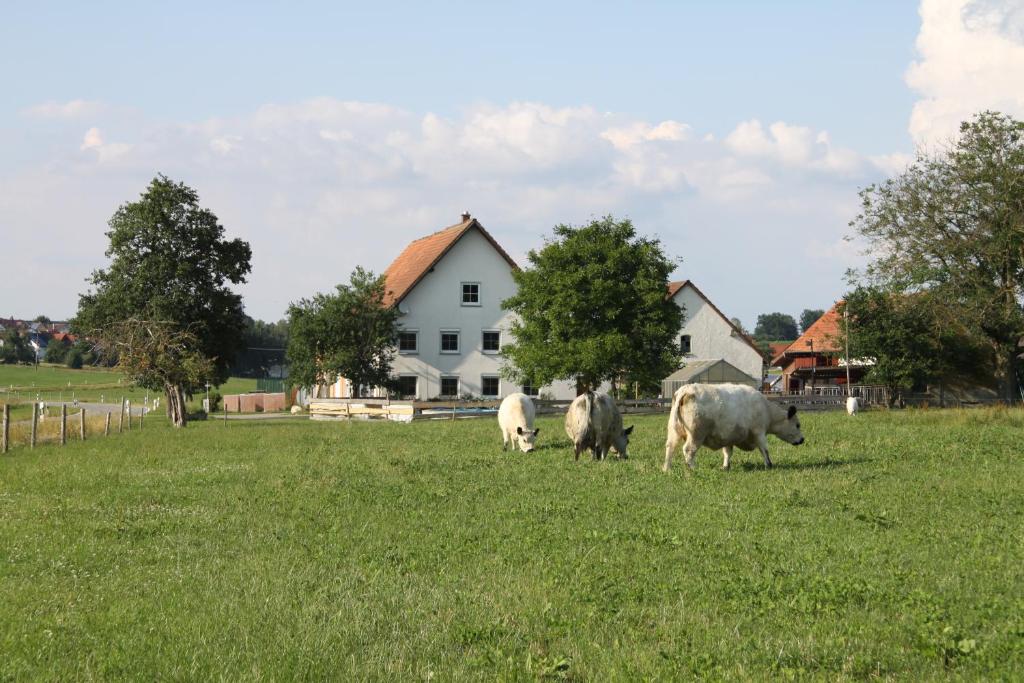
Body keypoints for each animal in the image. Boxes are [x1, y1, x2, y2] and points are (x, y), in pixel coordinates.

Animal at [663, 382, 806, 473]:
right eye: (797, 425)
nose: (802, 439)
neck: (766, 409)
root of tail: (686, 389)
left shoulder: (727, 437)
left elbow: (728, 453)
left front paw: (726, 467)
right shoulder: (759, 432)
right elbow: (764, 449)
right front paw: (769, 465)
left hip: (673, 432)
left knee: (670, 448)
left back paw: (667, 468)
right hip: (696, 434)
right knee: (688, 450)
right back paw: (693, 468)